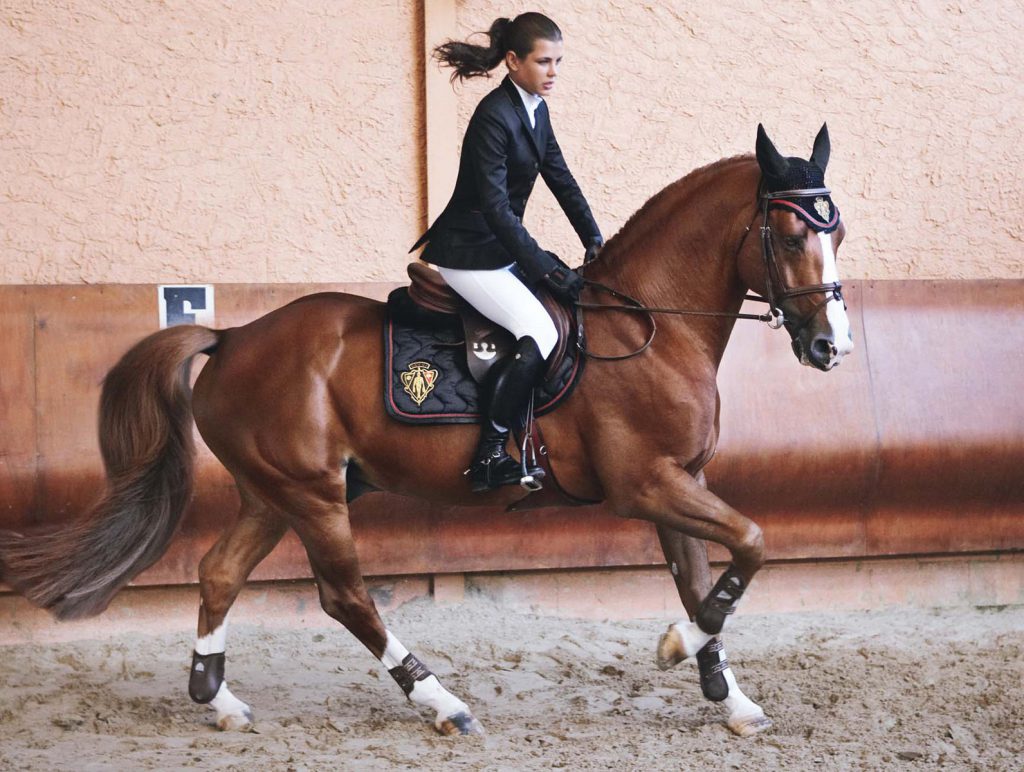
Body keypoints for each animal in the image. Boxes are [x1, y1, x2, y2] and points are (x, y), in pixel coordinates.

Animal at [0, 123, 851, 737]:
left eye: (836, 235)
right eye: (790, 237)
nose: (829, 347)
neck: (650, 325)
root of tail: (233, 337)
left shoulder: (679, 480)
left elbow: (705, 582)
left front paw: (726, 695)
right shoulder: (646, 485)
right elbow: (752, 545)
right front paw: (680, 645)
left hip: (274, 492)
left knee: (218, 573)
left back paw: (218, 698)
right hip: (313, 496)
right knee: (345, 596)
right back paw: (441, 701)